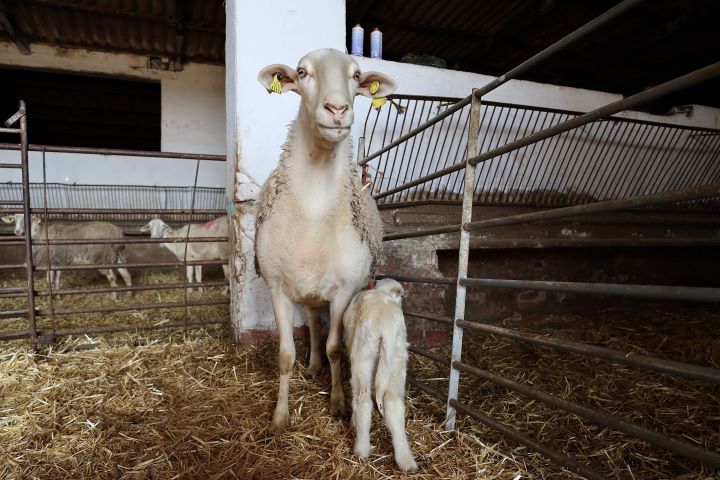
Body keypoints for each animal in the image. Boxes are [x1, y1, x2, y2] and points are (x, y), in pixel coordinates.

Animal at [1, 212, 132, 298]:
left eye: (29, 219)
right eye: (14, 219)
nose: (17, 231)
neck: (40, 234)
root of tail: (118, 232)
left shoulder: (50, 261)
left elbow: (49, 281)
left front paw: (49, 298)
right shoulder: (59, 261)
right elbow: (57, 280)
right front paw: (58, 296)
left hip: (102, 257)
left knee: (112, 277)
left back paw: (114, 297)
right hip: (118, 254)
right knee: (126, 274)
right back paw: (129, 294)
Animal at [256, 48, 396, 432]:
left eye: (357, 75)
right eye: (302, 72)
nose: (337, 109)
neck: (314, 212)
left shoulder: (344, 291)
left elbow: (336, 348)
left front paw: (337, 404)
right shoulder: (277, 287)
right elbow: (285, 354)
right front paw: (280, 416)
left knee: (321, 332)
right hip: (305, 293)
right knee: (313, 328)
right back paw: (313, 364)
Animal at [342, 280, 416, 470]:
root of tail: (386, 328)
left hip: (362, 355)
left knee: (363, 399)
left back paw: (361, 449)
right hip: (398, 360)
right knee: (393, 403)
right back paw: (406, 460)